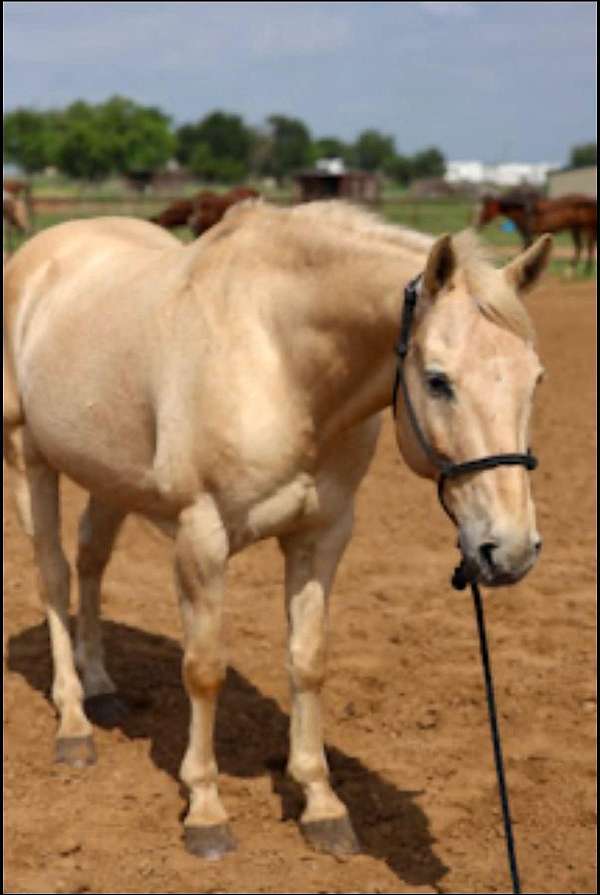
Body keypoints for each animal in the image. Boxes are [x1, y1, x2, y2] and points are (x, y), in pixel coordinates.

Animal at [3, 200, 552, 860]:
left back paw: (103, 687)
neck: (278, 360)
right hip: (30, 459)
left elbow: (308, 661)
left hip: (110, 477)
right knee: (55, 577)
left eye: (536, 378)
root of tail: (38, 254)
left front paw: (321, 804)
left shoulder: (322, 535)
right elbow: (204, 669)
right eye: (439, 380)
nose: (511, 551)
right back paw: (74, 723)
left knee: (90, 560)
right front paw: (206, 811)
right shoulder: (201, 537)